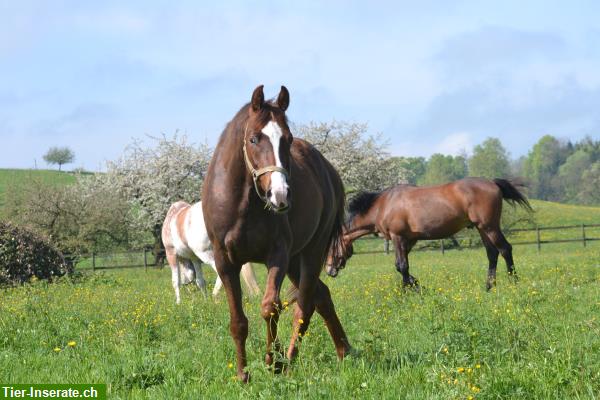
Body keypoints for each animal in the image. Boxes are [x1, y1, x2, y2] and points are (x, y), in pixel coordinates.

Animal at [203, 85, 352, 382]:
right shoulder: (225, 263)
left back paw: (290, 359)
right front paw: (243, 374)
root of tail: (327, 169)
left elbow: (270, 307)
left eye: (287, 139)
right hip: (296, 260)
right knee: (321, 297)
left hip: (311, 253)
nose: (280, 195)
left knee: (304, 305)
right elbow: (238, 321)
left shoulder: (278, 256)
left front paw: (273, 360)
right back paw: (343, 351)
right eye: (253, 139)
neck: (242, 204)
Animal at [326, 178, 532, 290]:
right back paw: (489, 287)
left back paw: (514, 283)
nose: (329, 270)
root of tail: (492, 183)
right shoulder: (409, 240)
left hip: (489, 227)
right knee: (492, 253)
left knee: (505, 249)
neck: (382, 205)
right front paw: (411, 286)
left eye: (328, 246)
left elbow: (402, 266)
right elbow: (402, 267)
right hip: (482, 228)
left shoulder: (398, 238)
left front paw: (414, 289)